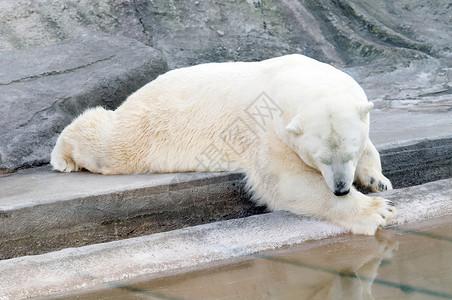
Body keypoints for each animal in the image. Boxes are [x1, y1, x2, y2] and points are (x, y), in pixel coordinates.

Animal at [50, 55, 396, 236]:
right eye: (319, 159)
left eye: (349, 154)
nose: (340, 188)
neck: (296, 77)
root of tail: (139, 92)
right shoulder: (267, 130)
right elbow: (287, 183)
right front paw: (378, 210)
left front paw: (377, 180)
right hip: (149, 127)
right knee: (109, 144)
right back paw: (62, 157)